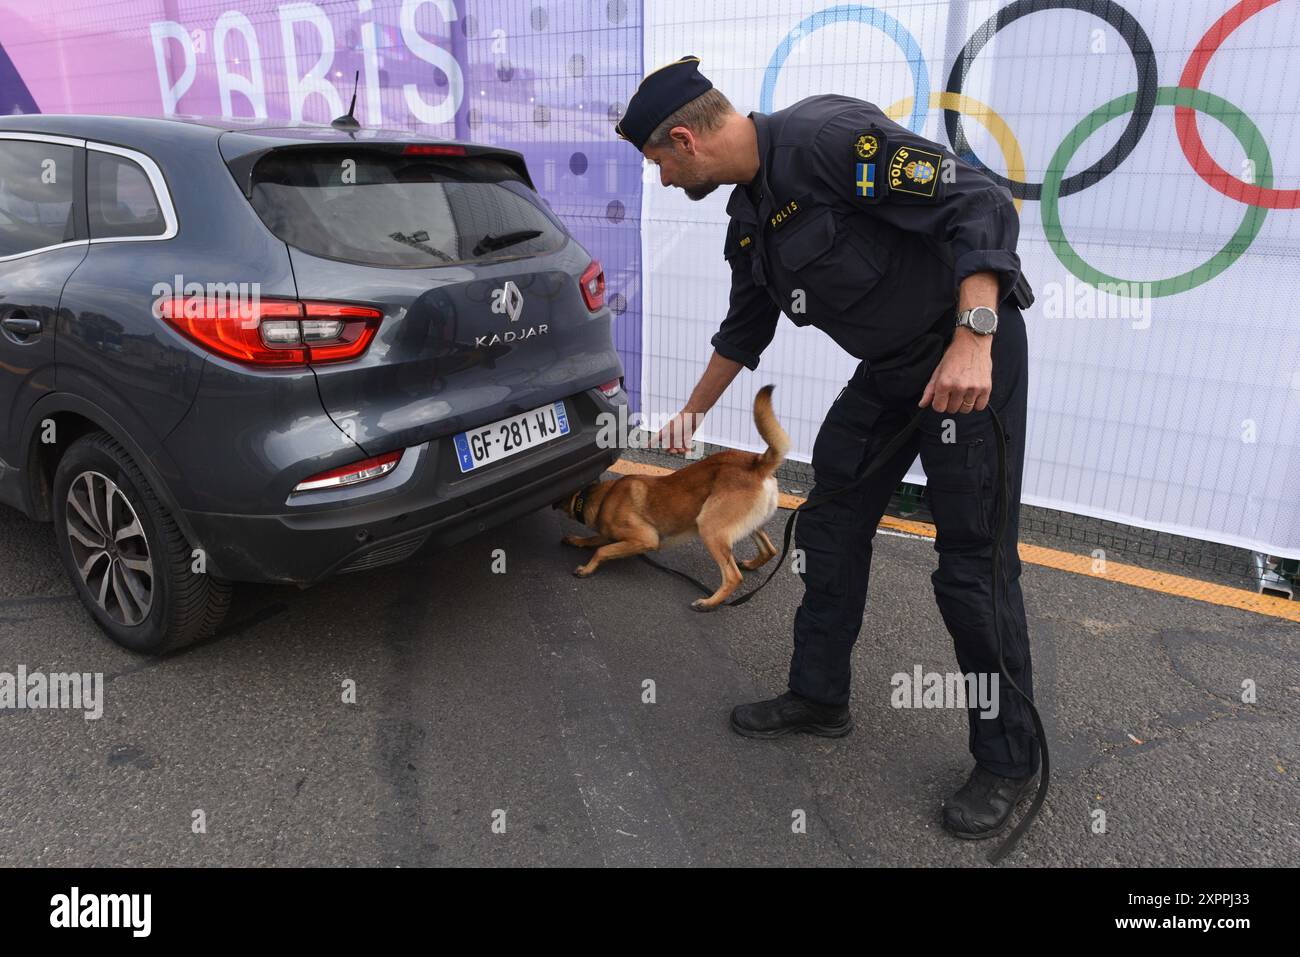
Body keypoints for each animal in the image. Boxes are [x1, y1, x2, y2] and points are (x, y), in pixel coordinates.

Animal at [553, 384, 785, 608]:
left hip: (709, 527)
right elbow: (594, 540)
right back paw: (751, 565)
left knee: (733, 577)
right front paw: (576, 540)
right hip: (748, 524)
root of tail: (757, 465)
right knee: (770, 550)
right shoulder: (611, 535)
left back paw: (709, 603)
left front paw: (586, 568)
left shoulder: (644, 538)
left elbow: (601, 550)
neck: (604, 497)